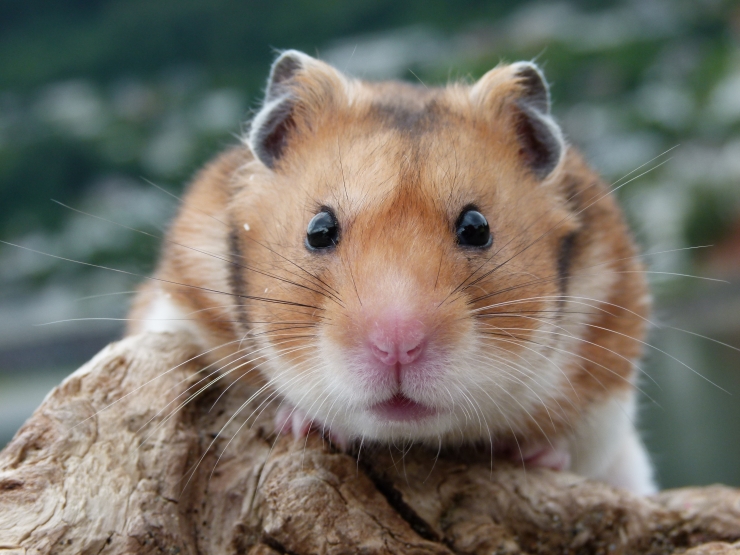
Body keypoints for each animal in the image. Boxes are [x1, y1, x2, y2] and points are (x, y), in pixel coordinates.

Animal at [128, 50, 656, 494]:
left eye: (477, 227)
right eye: (319, 230)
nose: (398, 347)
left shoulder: (608, 389)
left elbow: (576, 444)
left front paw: (534, 454)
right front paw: (302, 423)